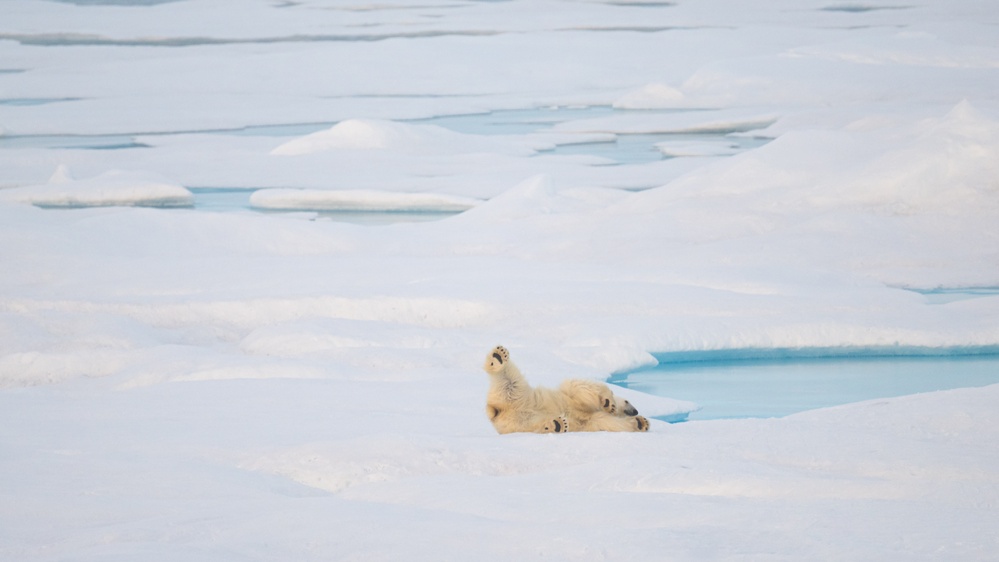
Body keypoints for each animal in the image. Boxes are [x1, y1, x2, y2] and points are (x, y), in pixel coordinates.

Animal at [482, 344, 648, 430]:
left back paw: (556, 425)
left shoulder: (592, 421)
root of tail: (497, 412)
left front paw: (641, 422)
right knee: (508, 379)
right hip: (519, 394)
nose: (635, 411)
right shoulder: (571, 395)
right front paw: (608, 402)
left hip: (522, 422)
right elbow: (580, 387)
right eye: (627, 401)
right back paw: (497, 357)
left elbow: (609, 423)